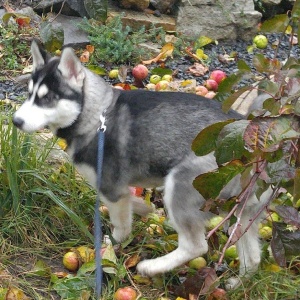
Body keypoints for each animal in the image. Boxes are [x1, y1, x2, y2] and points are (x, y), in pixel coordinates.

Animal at [12, 40, 270, 288]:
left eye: (47, 99)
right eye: (29, 95)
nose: (16, 121)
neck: (95, 115)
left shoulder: (110, 187)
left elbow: (121, 224)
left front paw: (114, 243)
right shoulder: (117, 189)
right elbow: (131, 203)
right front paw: (146, 208)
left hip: (182, 185)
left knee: (196, 246)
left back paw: (152, 267)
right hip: (241, 213)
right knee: (253, 257)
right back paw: (238, 284)